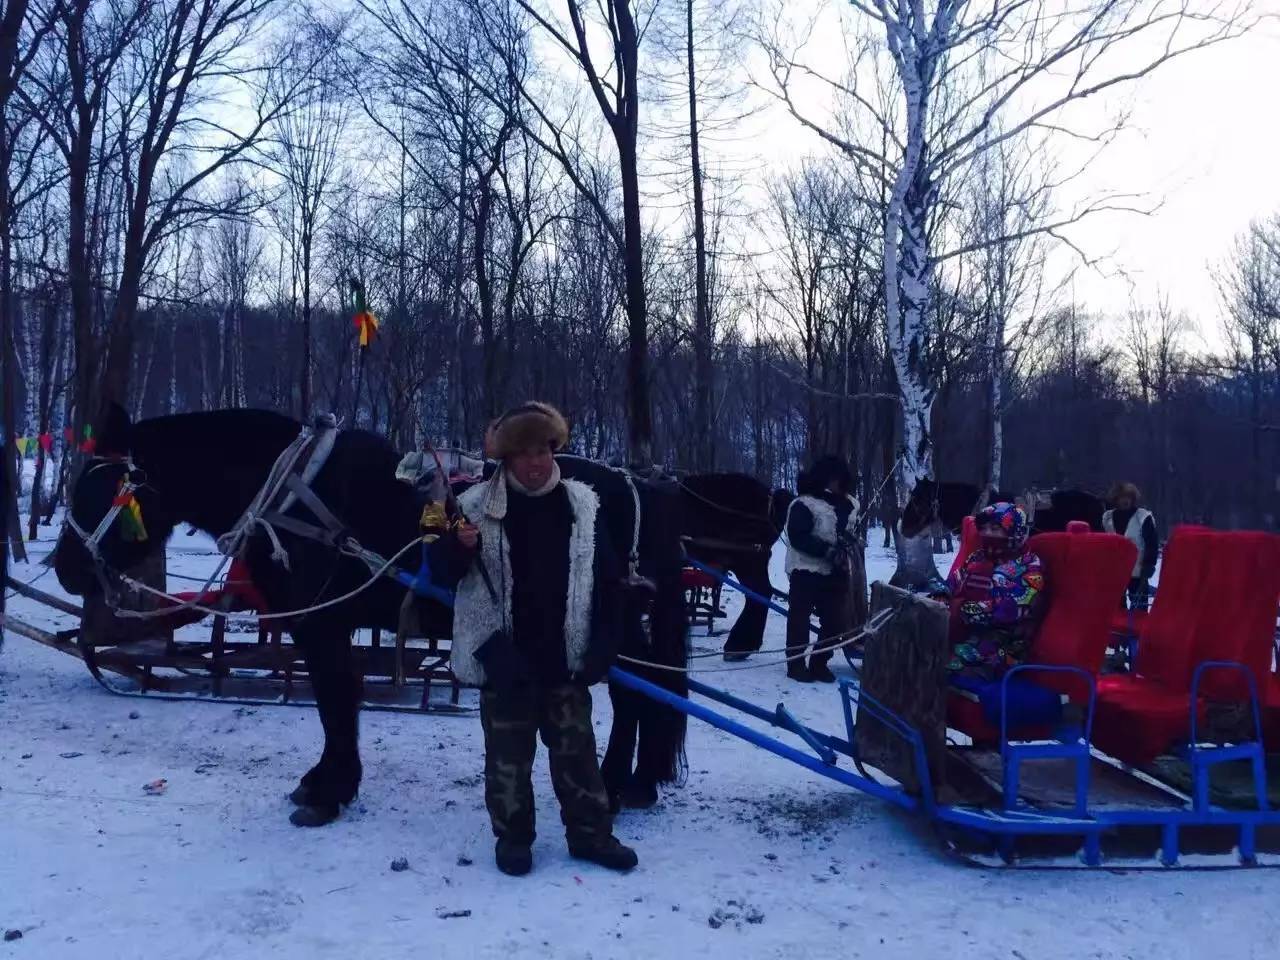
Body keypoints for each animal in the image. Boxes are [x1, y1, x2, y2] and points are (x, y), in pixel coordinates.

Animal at [53, 407, 686, 829]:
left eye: (100, 488)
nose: (65, 568)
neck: (294, 499)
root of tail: (640, 484)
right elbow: (339, 701)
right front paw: (329, 782)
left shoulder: (320, 623)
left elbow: (336, 702)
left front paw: (328, 789)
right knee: (642, 693)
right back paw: (634, 783)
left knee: (636, 693)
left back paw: (617, 785)